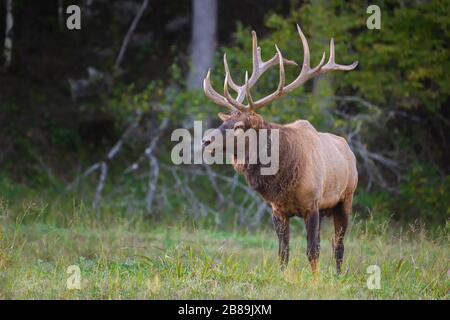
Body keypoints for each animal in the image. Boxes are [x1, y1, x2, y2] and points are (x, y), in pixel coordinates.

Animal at [200, 25, 358, 274]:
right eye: (222, 122)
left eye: (238, 126)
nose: (205, 141)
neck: (284, 177)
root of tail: (349, 150)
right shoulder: (278, 210)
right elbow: (283, 254)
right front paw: (284, 277)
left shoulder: (312, 204)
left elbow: (313, 251)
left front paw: (315, 280)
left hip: (346, 197)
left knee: (338, 245)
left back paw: (338, 275)